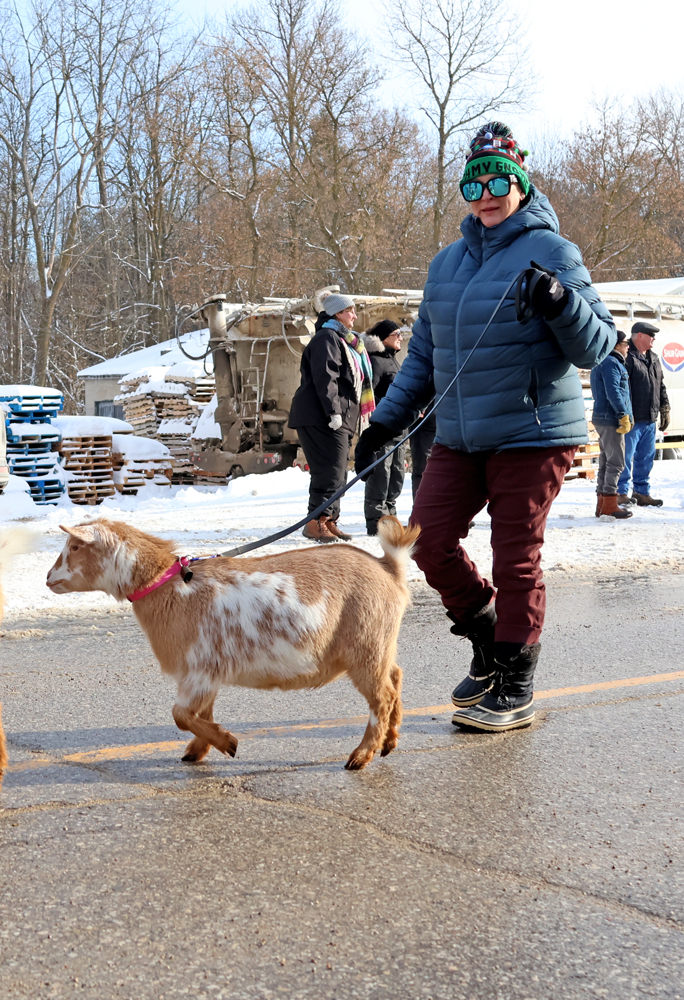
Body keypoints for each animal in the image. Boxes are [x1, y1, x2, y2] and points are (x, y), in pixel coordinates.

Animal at [47, 516, 420, 770]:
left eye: (75, 547)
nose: (49, 579)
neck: (169, 587)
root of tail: (389, 568)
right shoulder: (205, 673)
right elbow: (199, 712)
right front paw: (197, 750)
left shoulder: (198, 668)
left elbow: (180, 714)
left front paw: (228, 743)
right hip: (380, 644)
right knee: (396, 677)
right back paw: (389, 741)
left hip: (366, 646)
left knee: (382, 697)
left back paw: (361, 756)